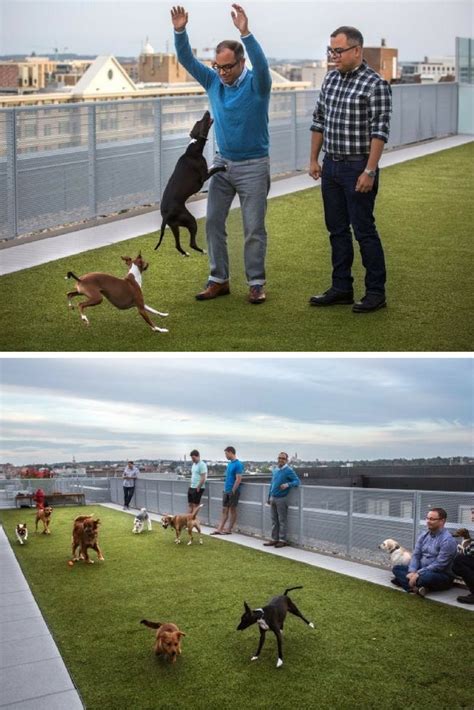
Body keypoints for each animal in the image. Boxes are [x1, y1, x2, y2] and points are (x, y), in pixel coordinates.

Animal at [155, 110, 227, 258]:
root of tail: (165, 216)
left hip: (175, 226)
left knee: (178, 245)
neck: (194, 148)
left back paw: (185, 253)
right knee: (191, 243)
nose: (207, 112)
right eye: (201, 121)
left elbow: (213, 166)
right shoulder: (204, 176)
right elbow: (215, 169)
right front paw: (223, 167)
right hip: (190, 221)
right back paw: (203, 251)